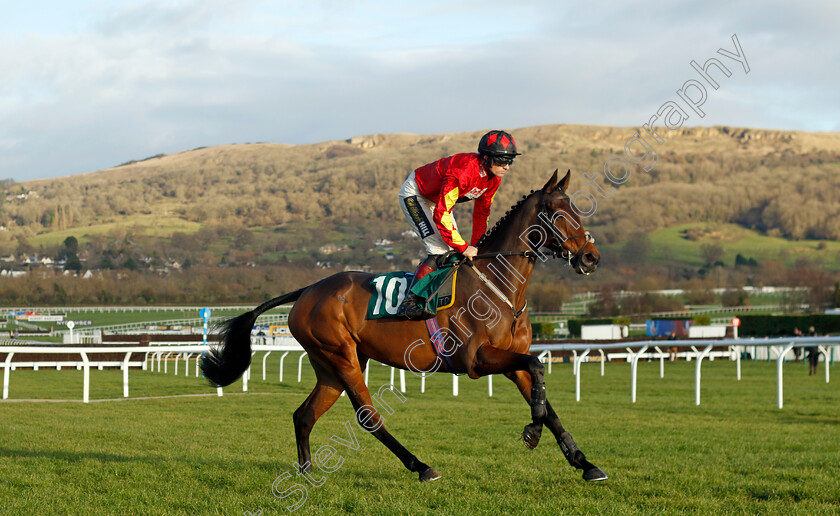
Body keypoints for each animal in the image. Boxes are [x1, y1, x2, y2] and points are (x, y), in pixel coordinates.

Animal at [203, 169, 612, 484]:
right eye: (557, 213)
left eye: (577, 209)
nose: (591, 258)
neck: (499, 283)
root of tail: (307, 290)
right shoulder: (476, 360)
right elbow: (538, 367)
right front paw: (532, 433)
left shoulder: (511, 359)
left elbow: (543, 393)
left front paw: (584, 463)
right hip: (341, 356)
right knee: (368, 416)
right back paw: (421, 466)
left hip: (331, 366)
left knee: (304, 415)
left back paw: (305, 472)